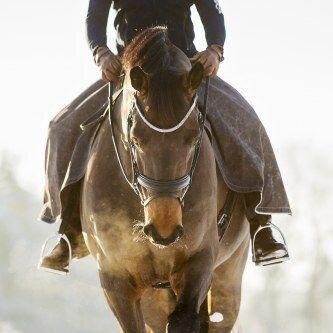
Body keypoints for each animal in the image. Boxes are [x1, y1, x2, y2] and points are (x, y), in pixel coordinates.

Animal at [80, 27, 248, 332]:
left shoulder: (198, 262)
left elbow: (184, 321)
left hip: (227, 280)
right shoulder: (115, 279)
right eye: (135, 139)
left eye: (193, 137)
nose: (164, 228)